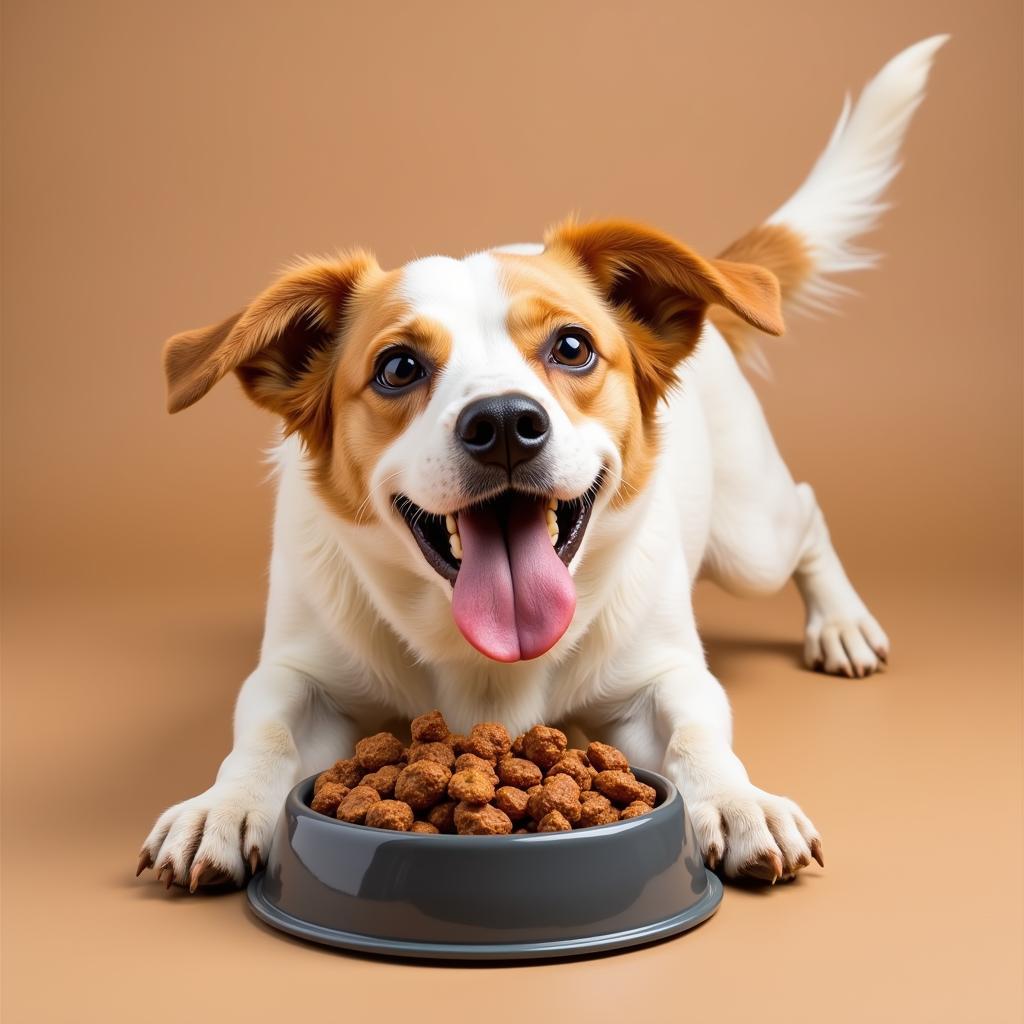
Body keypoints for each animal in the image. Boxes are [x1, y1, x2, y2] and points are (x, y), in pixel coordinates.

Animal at [140, 36, 946, 892]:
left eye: (572, 346)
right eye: (398, 366)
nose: (502, 424)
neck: (485, 661)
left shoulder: (667, 676)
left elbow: (696, 733)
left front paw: (736, 798)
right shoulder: (295, 675)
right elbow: (265, 735)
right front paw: (223, 804)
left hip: (747, 538)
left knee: (808, 512)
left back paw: (842, 623)